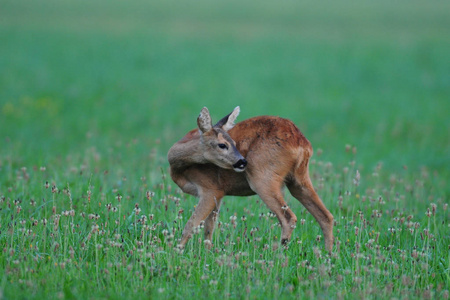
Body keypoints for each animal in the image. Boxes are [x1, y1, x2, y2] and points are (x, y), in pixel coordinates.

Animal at [167, 106, 332, 252]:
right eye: (222, 145)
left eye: (234, 143)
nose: (242, 162)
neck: (178, 167)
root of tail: (302, 143)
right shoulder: (219, 194)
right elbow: (209, 229)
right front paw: (207, 254)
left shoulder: (210, 188)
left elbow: (191, 225)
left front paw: (177, 252)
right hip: (299, 179)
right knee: (326, 216)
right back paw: (328, 255)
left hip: (262, 178)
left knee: (289, 218)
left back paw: (278, 254)